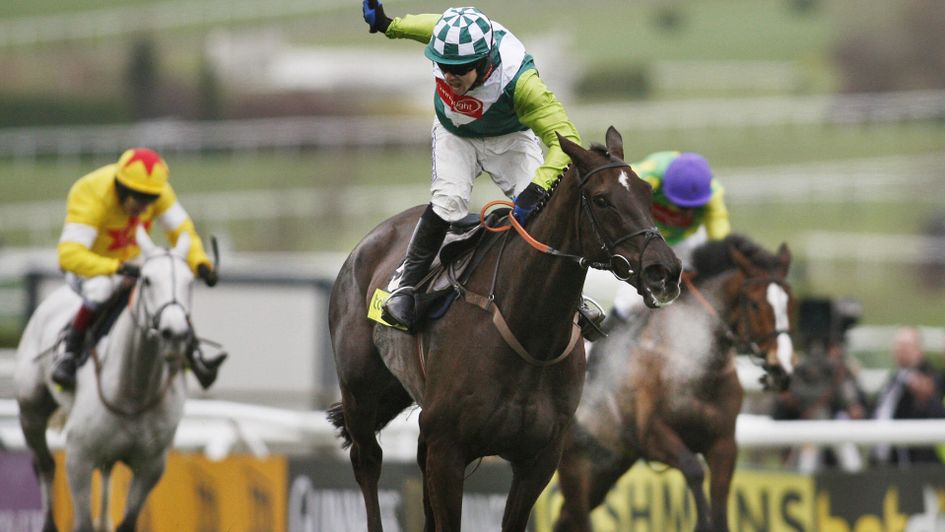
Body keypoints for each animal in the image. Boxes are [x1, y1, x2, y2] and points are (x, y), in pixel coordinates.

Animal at [324, 128, 680, 532]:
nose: (665, 271)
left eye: (647, 193)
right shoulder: (449, 449)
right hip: (360, 394)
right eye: (602, 200)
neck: (530, 333)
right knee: (367, 461)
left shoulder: (538, 459)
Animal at [552, 235, 796, 532]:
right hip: (573, 464)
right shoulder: (652, 435)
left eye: (791, 303)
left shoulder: (724, 443)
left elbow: (720, 501)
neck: (694, 364)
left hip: (605, 464)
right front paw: (701, 523)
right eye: (754, 304)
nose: (782, 369)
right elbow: (693, 468)